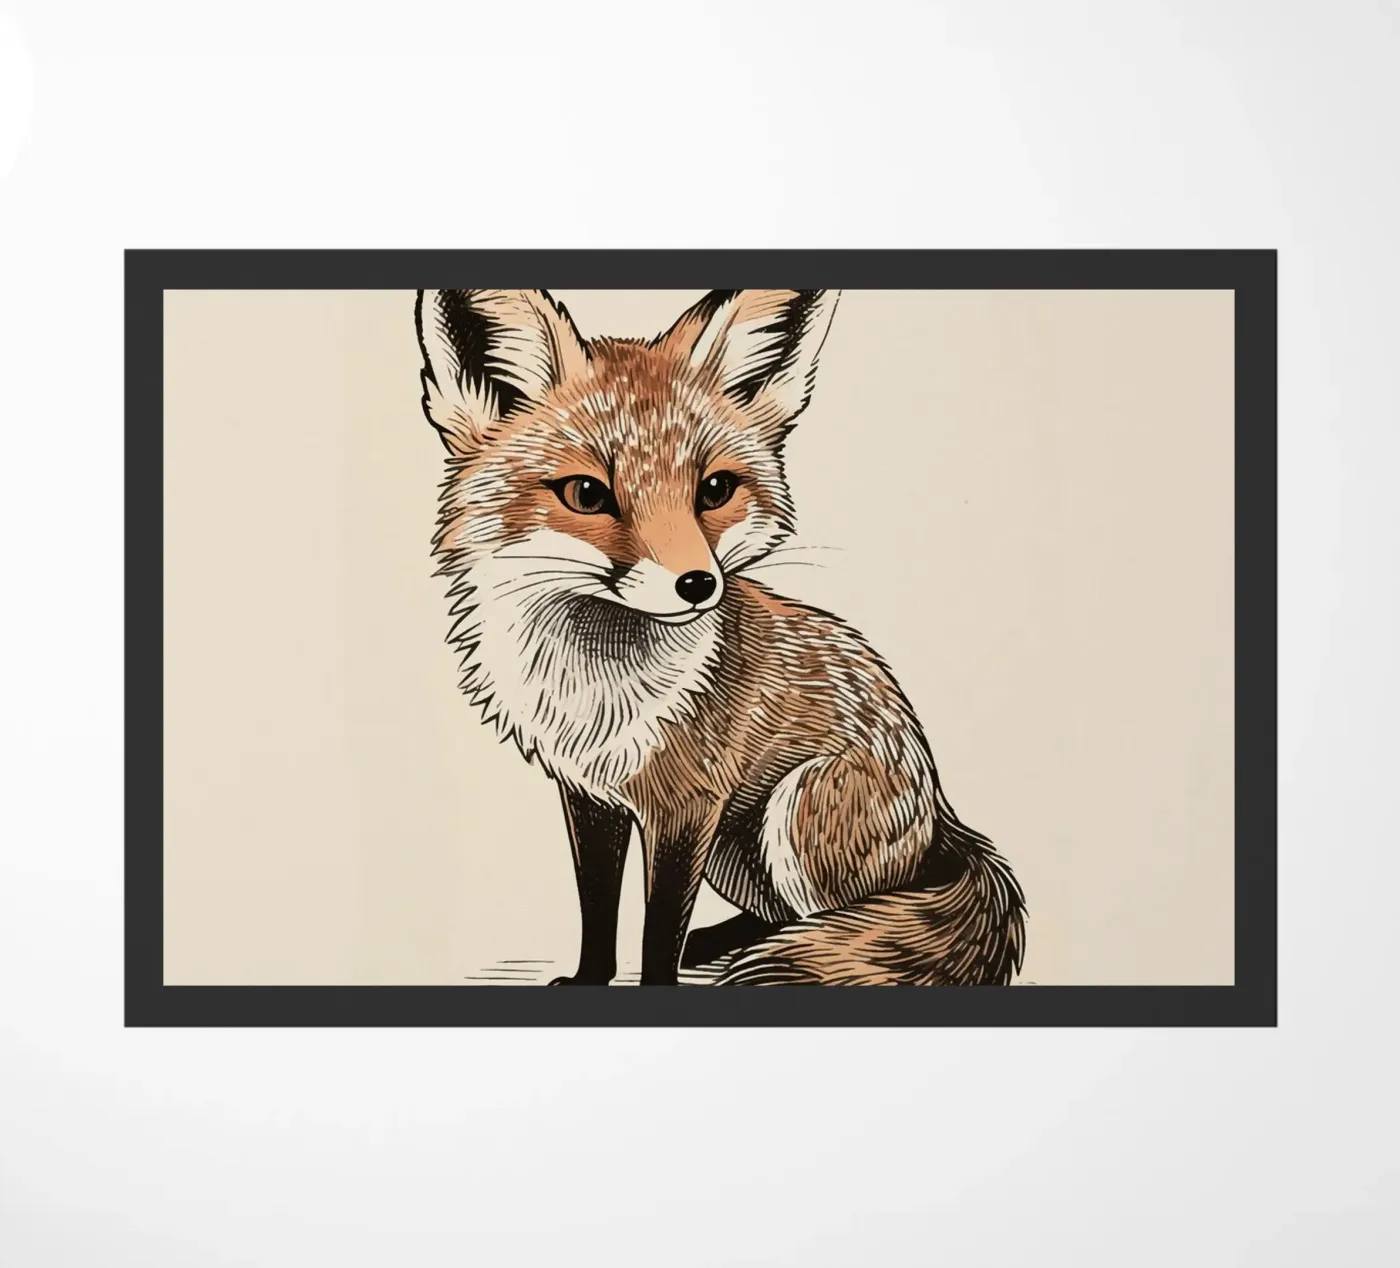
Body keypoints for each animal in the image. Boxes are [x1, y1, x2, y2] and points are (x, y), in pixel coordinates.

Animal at [413, 287, 1025, 986]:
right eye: (587, 493)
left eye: (715, 489)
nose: (698, 584)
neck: (596, 690)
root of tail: (942, 818)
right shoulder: (589, 796)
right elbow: (598, 906)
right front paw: (591, 977)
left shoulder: (689, 805)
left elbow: (658, 929)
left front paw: (656, 979)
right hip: (736, 854)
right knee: (785, 918)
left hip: (790, 813)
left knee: (840, 919)